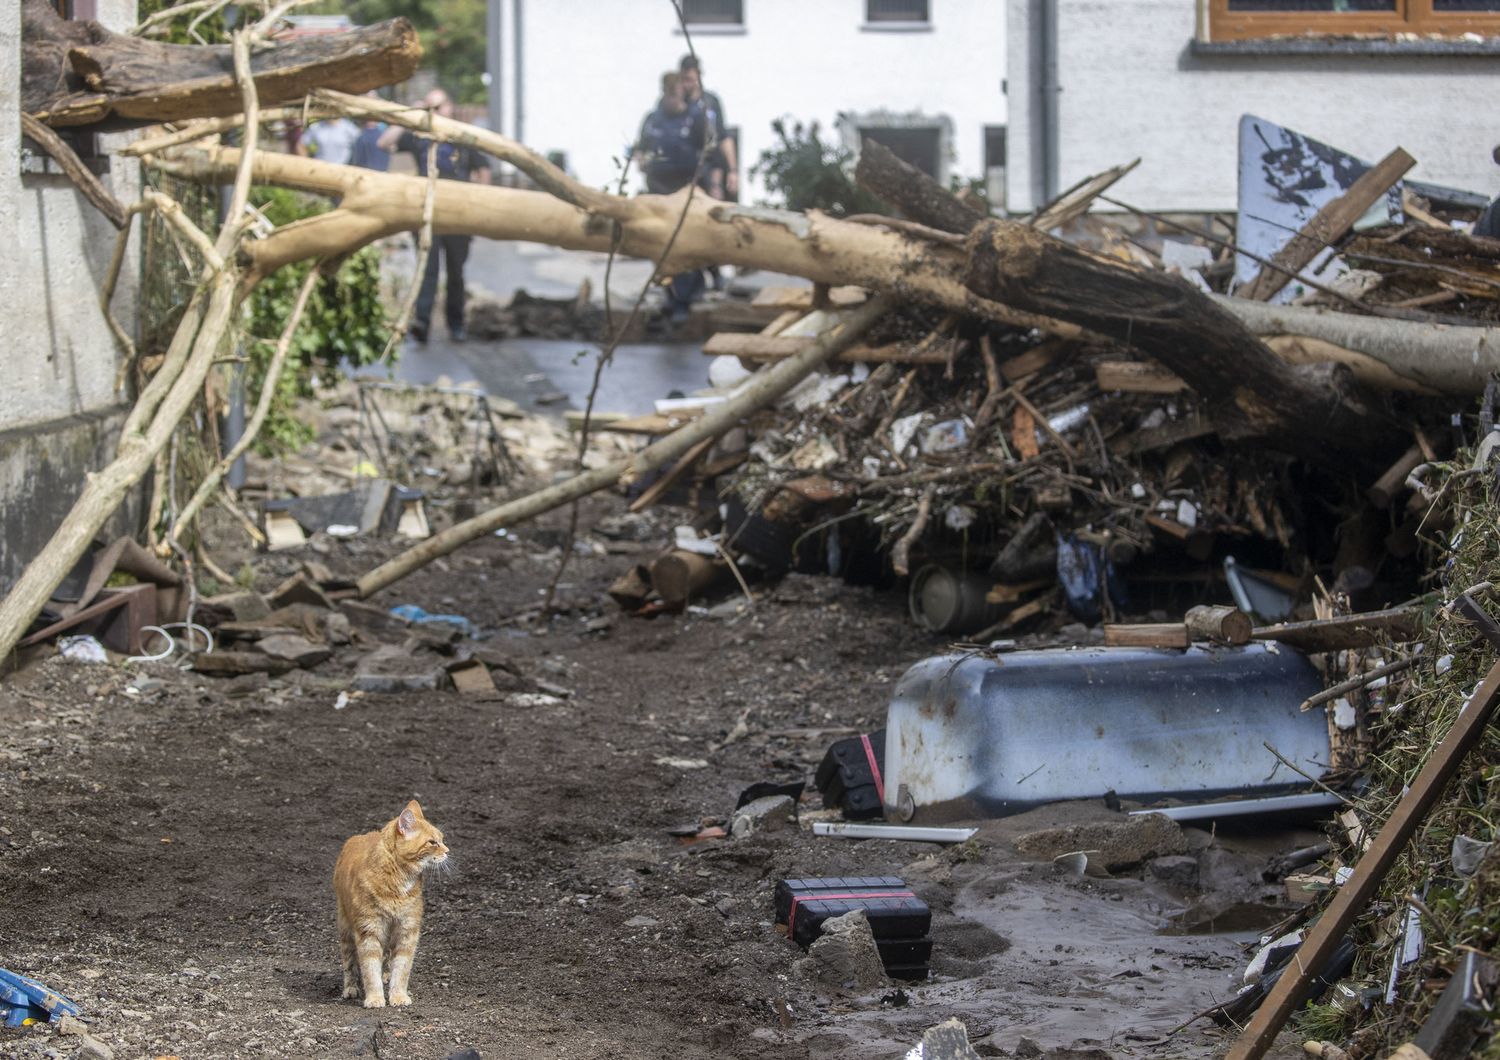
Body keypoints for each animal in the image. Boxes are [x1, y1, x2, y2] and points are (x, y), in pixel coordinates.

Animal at [328, 797, 444, 1007]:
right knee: (349, 962)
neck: (397, 882)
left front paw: (398, 995)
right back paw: (351, 988)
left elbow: (402, 969)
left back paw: (387, 976)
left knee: (388, 958)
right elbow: (369, 969)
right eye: (433, 842)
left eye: (441, 839)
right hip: (346, 929)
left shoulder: (407, 930)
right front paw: (375, 998)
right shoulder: (369, 930)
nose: (447, 851)